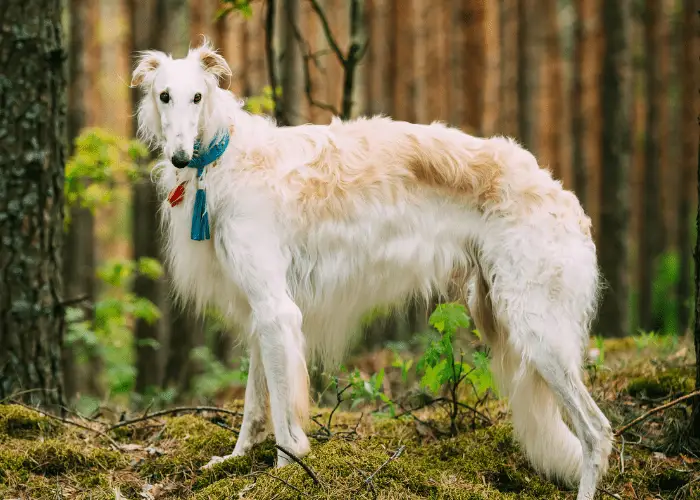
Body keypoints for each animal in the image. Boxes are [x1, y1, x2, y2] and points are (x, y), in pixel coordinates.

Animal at [131, 40, 612, 500]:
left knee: (597, 432)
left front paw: (285, 473)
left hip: (538, 330)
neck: (222, 157)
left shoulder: (276, 310)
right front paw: (233, 459)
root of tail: (565, 199)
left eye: (197, 96)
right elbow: (253, 405)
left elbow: (284, 417)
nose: (179, 157)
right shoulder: (259, 315)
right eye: (164, 96)